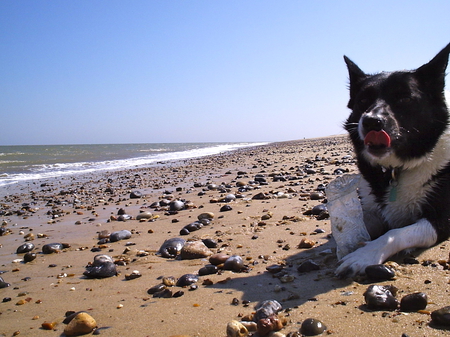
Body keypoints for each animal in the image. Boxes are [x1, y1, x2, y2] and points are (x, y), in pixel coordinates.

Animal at [336, 43, 450, 276]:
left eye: (405, 98)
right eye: (363, 100)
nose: (371, 121)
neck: (398, 168)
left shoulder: (443, 218)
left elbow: (396, 233)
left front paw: (364, 255)